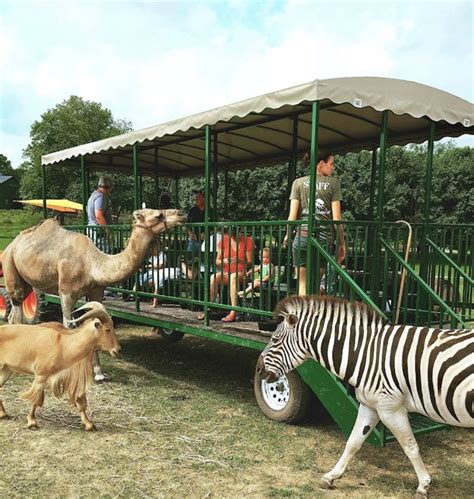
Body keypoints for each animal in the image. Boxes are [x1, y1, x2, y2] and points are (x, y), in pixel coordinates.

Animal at [2, 211, 187, 378]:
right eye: (158, 215)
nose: (181, 213)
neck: (92, 264)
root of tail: (12, 244)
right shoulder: (66, 293)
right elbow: (68, 326)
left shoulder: (97, 292)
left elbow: (94, 322)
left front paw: (98, 373)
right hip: (10, 266)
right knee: (17, 307)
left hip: (27, 282)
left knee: (13, 315)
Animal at [258, 296, 472, 496]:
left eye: (274, 340)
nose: (259, 369)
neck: (366, 354)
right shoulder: (370, 406)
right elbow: (353, 442)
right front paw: (331, 476)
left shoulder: (390, 409)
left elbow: (410, 446)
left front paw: (423, 485)